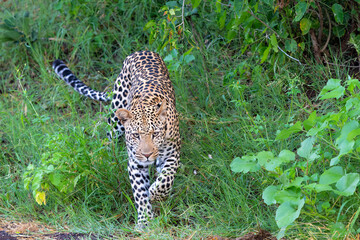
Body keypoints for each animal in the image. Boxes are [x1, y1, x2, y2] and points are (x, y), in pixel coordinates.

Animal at [51, 50, 180, 227]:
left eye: (155, 134)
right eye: (136, 135)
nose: (147, 155)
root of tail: (141, 50)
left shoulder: (173, 155)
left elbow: (166, 179)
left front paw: (155, 194)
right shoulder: (136, 164)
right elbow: (140, 194)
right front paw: (145, 221)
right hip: (116, 117)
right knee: (108, 140)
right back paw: (105, 159)